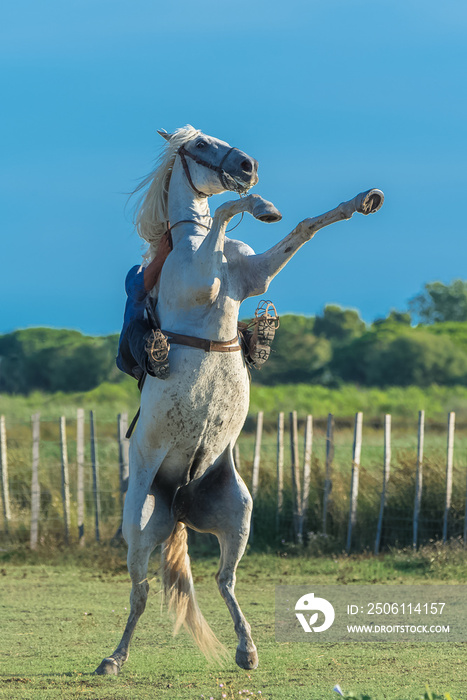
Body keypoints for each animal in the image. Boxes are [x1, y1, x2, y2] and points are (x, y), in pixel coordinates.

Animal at [96, 124, 384, 672]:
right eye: (199, 145)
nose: (248, 166)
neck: (190, 241)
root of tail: (179, 500)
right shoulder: (203, 276)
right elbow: (229, 211)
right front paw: (261, 204)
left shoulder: (255, 276)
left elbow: (304, 229)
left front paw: (360, 200)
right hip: (139, 526)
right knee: (140, 592)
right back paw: (112, 659)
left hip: (238, 516)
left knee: (222, 579)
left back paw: (247, 649)